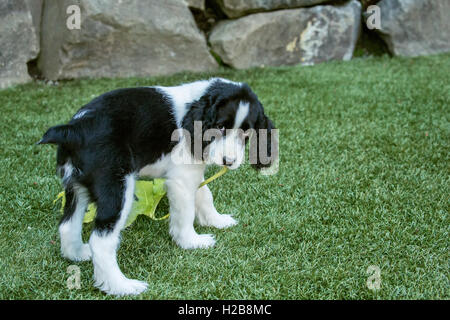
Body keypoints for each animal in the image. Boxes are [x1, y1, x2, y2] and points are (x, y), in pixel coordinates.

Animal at [38, 77, 276, 296]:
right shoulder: (181, 178)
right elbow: (186, 212)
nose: (229, 161)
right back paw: (121, 286)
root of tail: (75, 129)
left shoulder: (192, 170)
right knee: (101, 241)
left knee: (68, 225)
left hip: (76, 186)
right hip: (117, 189)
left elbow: (204, 194)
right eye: (218, 127)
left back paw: (78, 254)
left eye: (246, 133)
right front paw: (191, 241)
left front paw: (216, 221)